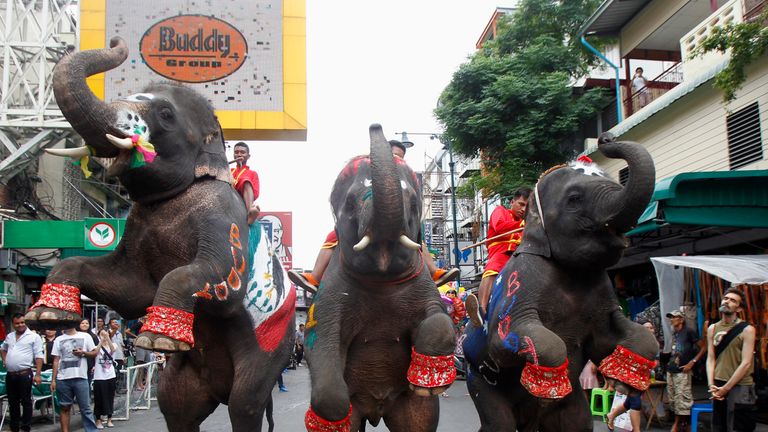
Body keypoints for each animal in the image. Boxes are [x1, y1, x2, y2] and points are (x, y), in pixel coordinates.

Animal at [23, 36, 294, 428]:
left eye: (165, 114)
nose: (116, 41)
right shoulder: (136, 229)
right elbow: (130, 291)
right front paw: (47, 315)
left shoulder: (223, 215)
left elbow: (224, 285)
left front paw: (155, 341)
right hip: (184, 378)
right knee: (174, 405)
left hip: (272, 346)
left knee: (245, 404)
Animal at [302, 125, 456, 432]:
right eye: (350, 204)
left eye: (413, 203)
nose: (375, 126)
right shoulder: (330, 294)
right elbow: (319, 338)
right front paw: (328, 419)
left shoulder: (422, 284)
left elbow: (439, 317)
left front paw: (430, 383)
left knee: (417, 421)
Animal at [462, 132, 660, 432]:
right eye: (574, 198)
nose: (605, 138)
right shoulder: (519, 283)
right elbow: (506, 339)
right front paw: (546, 388)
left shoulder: (603, 293)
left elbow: (616, 338)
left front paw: (625, 381)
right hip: (478, 377)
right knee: (498, 423)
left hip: (572, 403)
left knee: (577, 422)